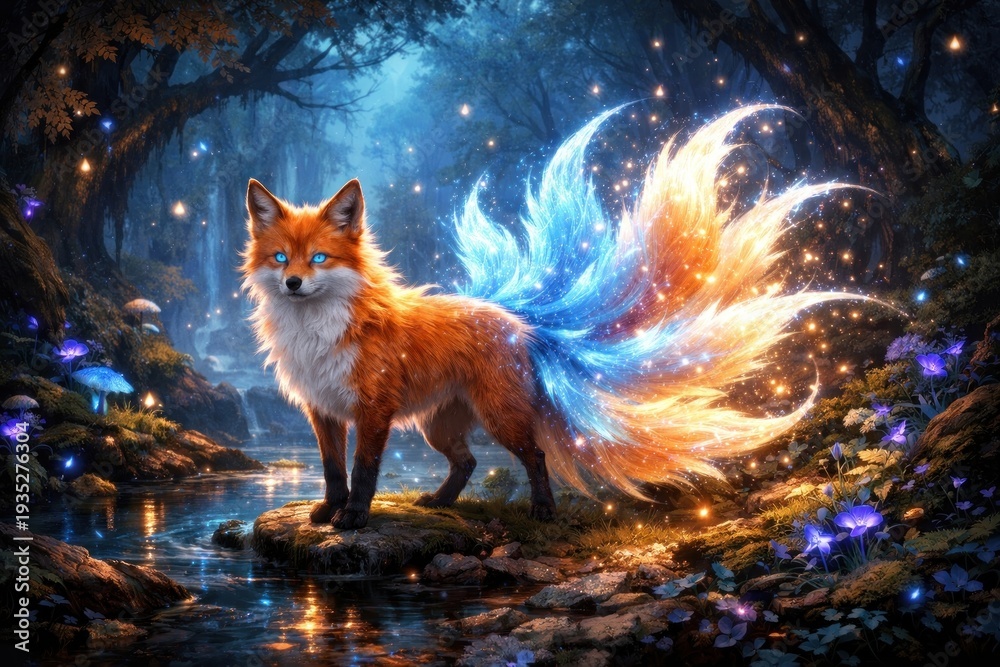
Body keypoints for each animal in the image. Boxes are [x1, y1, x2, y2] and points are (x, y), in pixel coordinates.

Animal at [242, 105, 866, 530]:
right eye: (281, 259)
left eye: (319, 258)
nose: (294, 284)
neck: (317, 335)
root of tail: (518, 323)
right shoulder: (323, 409)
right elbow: (333, 469)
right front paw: (327, 512)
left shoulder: (372, 410)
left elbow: (366, 471)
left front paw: (353, 519)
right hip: (439, 426)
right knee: (468, 462)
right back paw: (441, 502)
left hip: (495, 417)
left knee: (534, 453)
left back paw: (540, 509)